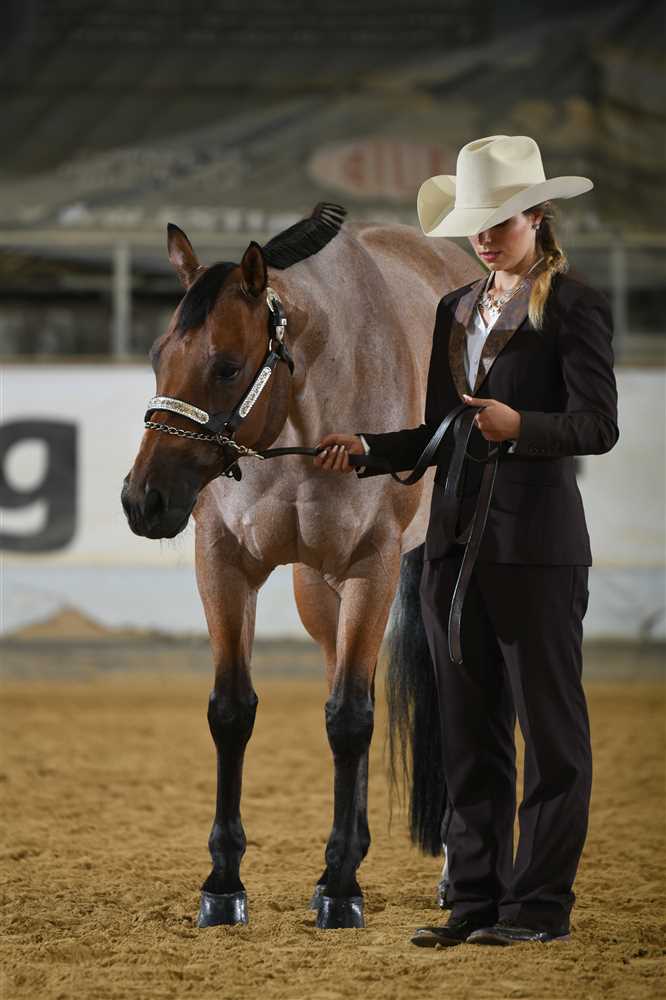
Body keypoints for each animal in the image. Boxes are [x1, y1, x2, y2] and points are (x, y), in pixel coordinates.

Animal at [121, 203, 482, 929]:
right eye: (157, 357)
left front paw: (341, 888)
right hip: (318, 589)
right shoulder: (225, 566)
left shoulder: (372, 569)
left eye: (226, 367)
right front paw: (224, 883)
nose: (142, 500)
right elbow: (235, 712)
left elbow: (349, 721)